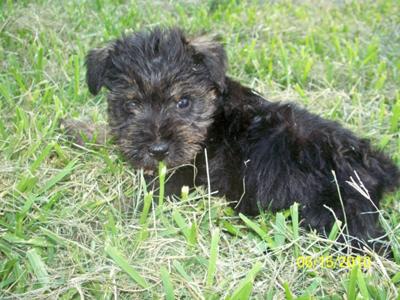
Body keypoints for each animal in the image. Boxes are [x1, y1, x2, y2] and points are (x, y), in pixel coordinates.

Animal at [85, 27, 400, 253]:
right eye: (131, 105)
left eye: (183, 102)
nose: (158, 149)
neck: (213, 118)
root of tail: (376, 165)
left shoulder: (182, 175)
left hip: (332, 212)